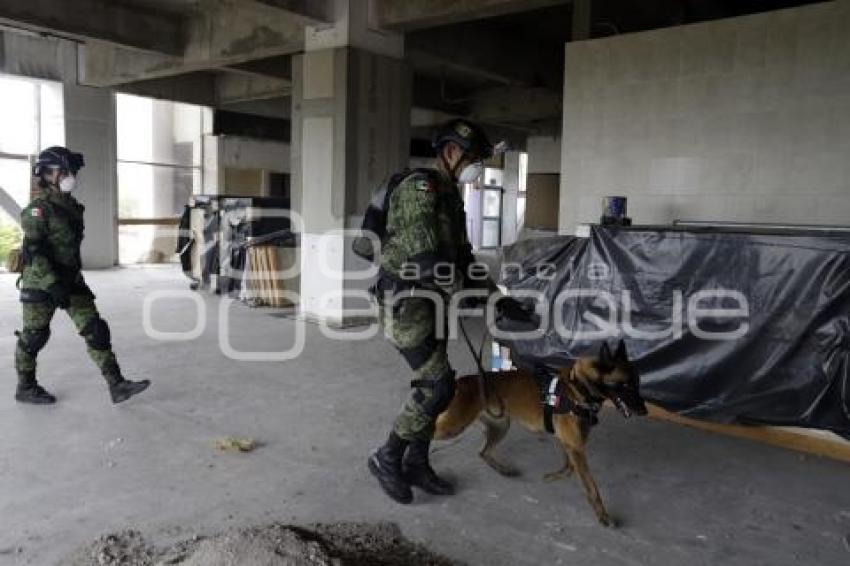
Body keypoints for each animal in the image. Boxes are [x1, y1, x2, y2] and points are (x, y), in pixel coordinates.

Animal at [434, 340, 644, 532]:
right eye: (625, 384)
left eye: (637, 383)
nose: (643, 411)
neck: (578, 387)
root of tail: (462, 382)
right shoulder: (576, 447)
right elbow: (591, 487)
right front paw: (603, 516)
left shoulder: (569, 443)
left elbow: (568, 466)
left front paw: (555, 476)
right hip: (453, 426)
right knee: (429, 431)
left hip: (501, 426)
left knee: (482, 452)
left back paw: (504, 470)